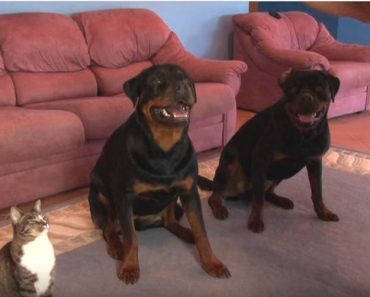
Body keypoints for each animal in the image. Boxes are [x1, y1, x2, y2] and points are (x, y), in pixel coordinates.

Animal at [88, 63, 230, 284]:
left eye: (187, 79)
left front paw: (212, 262)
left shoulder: (189, 192)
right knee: (109, 229)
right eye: (156, 81)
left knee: (169, 221)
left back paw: (186, 233)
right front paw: (129, 266)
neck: (165, 147)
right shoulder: (124, 196)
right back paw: (117, 247)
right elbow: (131, 238)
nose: (182, 87)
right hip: (100, 195)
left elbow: (201, 232)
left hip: (175, 203)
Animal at [202, 69, 342, 231]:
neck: (302, 134)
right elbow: (258, 198)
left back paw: (281, 200)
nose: (306, 97)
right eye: (293, 89)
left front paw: (323, 212)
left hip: (280, 173)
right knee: (218, 194)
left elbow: (317, 191)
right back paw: (219, 207)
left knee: (267, 192)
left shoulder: (315, 161)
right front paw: (255, 220)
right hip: (230, 161)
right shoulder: (261, 159)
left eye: (319, 88)